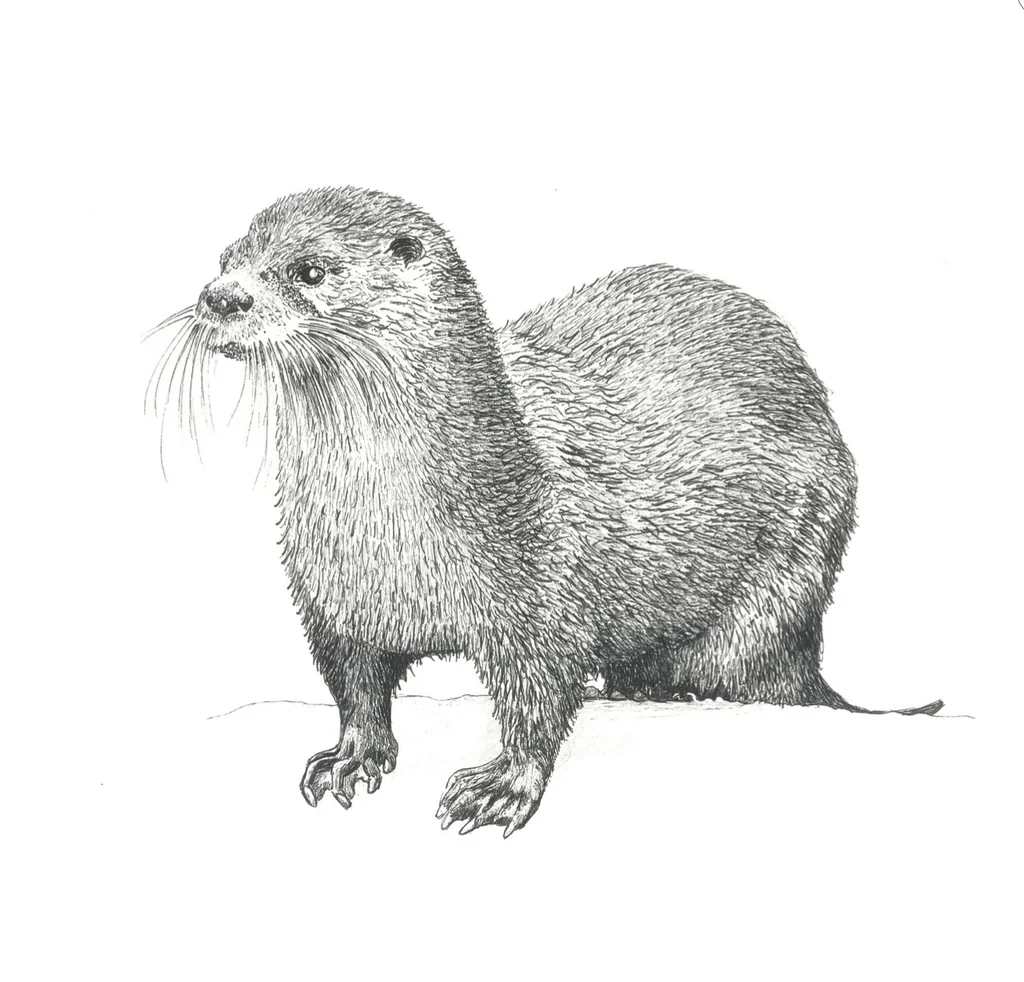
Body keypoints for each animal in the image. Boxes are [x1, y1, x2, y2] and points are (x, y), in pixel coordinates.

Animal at [150, 186, 942, 837]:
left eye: (310, 270)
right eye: (226, 258)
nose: (220, 298)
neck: (391, 534)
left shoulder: (543, 592)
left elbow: (539, 696)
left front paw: (503, 785)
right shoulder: (332, 598)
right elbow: (355, 685)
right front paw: (352, 755)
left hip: (786, 574)